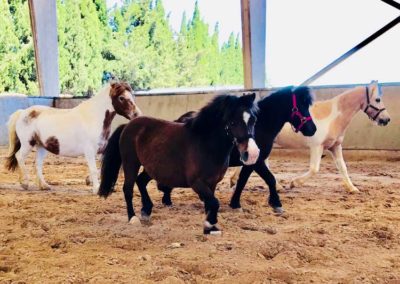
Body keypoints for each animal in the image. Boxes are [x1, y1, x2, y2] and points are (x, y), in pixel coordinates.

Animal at [3, 81, 140, 193]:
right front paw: (96, 189)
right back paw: (25, 183)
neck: (93, 118)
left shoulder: (102, 150)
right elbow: (94, 169)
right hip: (27, 143)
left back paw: (44, 186)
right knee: (19, 156)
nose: (137, 114)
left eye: (132, 96)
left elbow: (100, 168)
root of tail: (22, 112)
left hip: (42, 146)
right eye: (121, 97)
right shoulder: (89, 151)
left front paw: (89, 181)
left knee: (38, 164)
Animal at [98, 94, 258, 234]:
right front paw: (209, 224)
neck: (205, 143)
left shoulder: (212, 183)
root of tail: (127, 125)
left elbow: (210, 204)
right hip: (131, 163)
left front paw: (210, 227)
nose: (252, 153)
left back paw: (146, 211)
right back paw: (133, 217)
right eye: (232, 121)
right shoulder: (196, 182)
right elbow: (214, 203)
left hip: (151, 168)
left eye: (253, 120)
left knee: (141, 181)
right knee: (128, 189)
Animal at [231, 80, 390, 193]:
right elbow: (314, 169)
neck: (332, 117)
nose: (386, 119)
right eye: (377, 99)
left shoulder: (335, 147)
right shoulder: (317, 147)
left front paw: (352, 188)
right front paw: (294, 183)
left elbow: (343, 167)